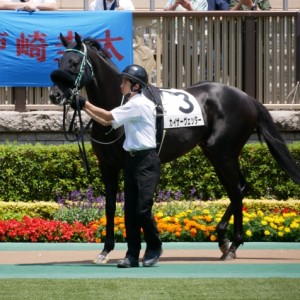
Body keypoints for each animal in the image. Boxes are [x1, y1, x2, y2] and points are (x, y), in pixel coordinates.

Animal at [49, 32, 300, 262]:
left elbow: (137, 205)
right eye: (59, 61)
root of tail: (249, 99)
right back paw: (224, 239)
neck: (115, 108)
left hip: (224, 153)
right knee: (237, 188)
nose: (55, 95)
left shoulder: (129, 164)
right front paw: (106, 250)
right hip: (215, 154)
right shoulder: (107, 166)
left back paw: (233, 244)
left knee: (237, 190)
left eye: (73, 63)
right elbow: (110, 206)